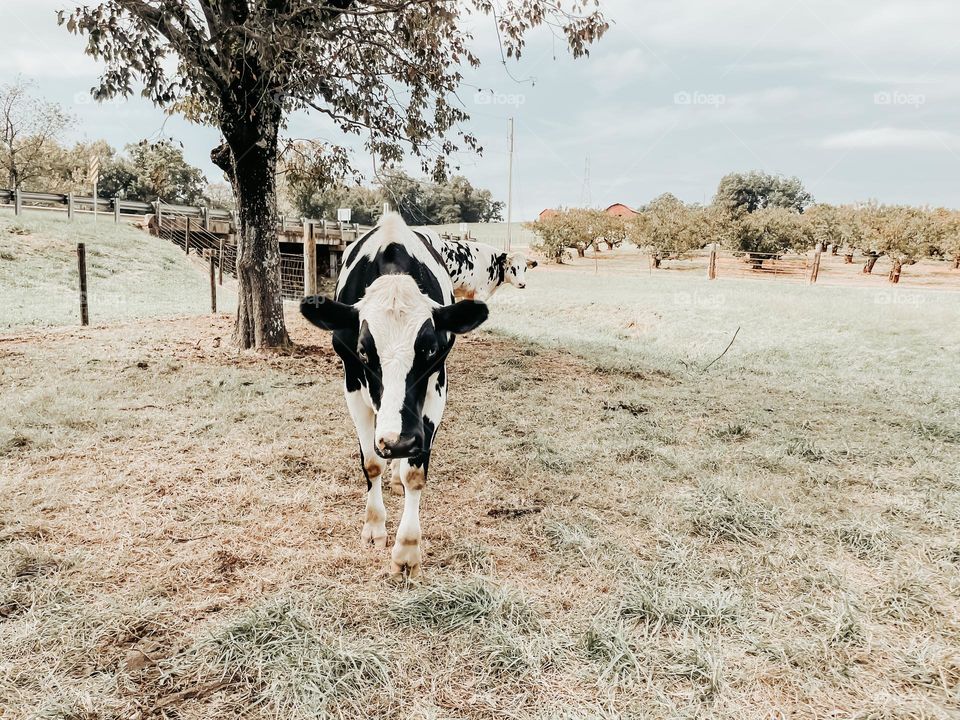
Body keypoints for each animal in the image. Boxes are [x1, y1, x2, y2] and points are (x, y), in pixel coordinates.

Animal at [300, 213, 488, 580]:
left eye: (429, 349)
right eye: (363, 351)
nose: (398, 442)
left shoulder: (437, 387)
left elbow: (415, 474)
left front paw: (407, 551)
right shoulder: (352, 385)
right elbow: (371, 463)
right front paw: (374, 526)